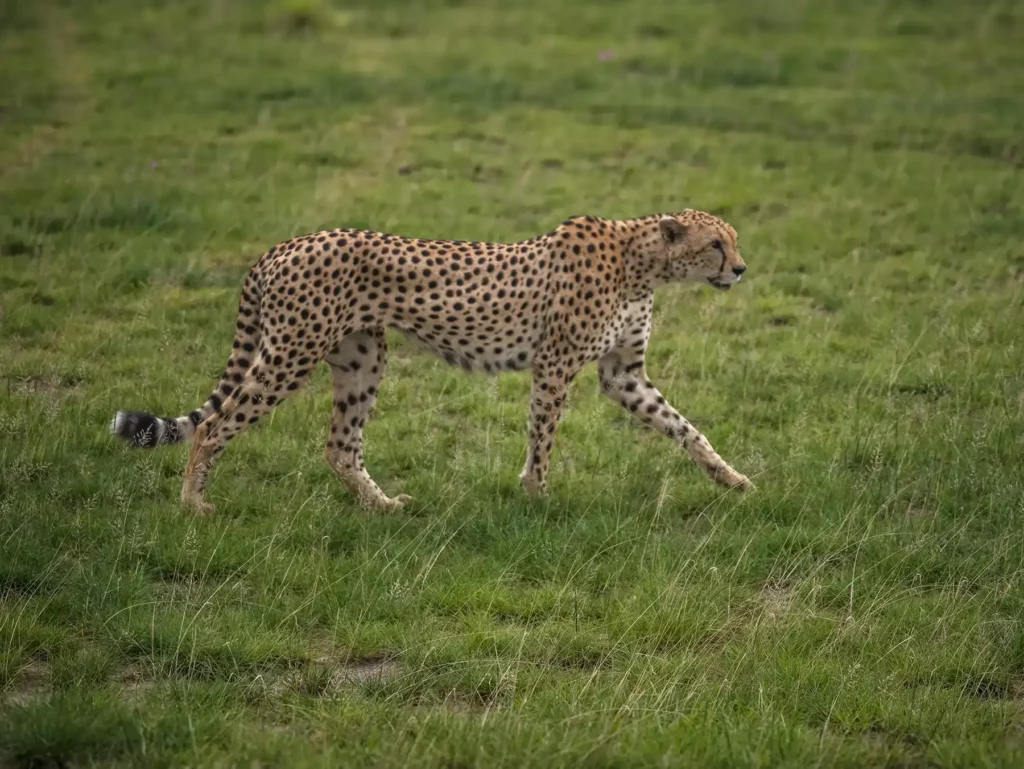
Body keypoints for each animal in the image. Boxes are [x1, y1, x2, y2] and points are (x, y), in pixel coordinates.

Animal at [110, 209, 754, 514]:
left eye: (733, 240)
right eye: (715, 244)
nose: (742, 268)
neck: (643, 263)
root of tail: (285, 244)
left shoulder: (623, 375)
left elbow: (683, 426)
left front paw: (731, 479)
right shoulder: (554, 365)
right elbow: (543, 437)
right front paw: (537, 496)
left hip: (362, 357)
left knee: (339, 446)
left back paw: (382, 507)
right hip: (291, 353)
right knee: (214, 426)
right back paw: (194, 505)